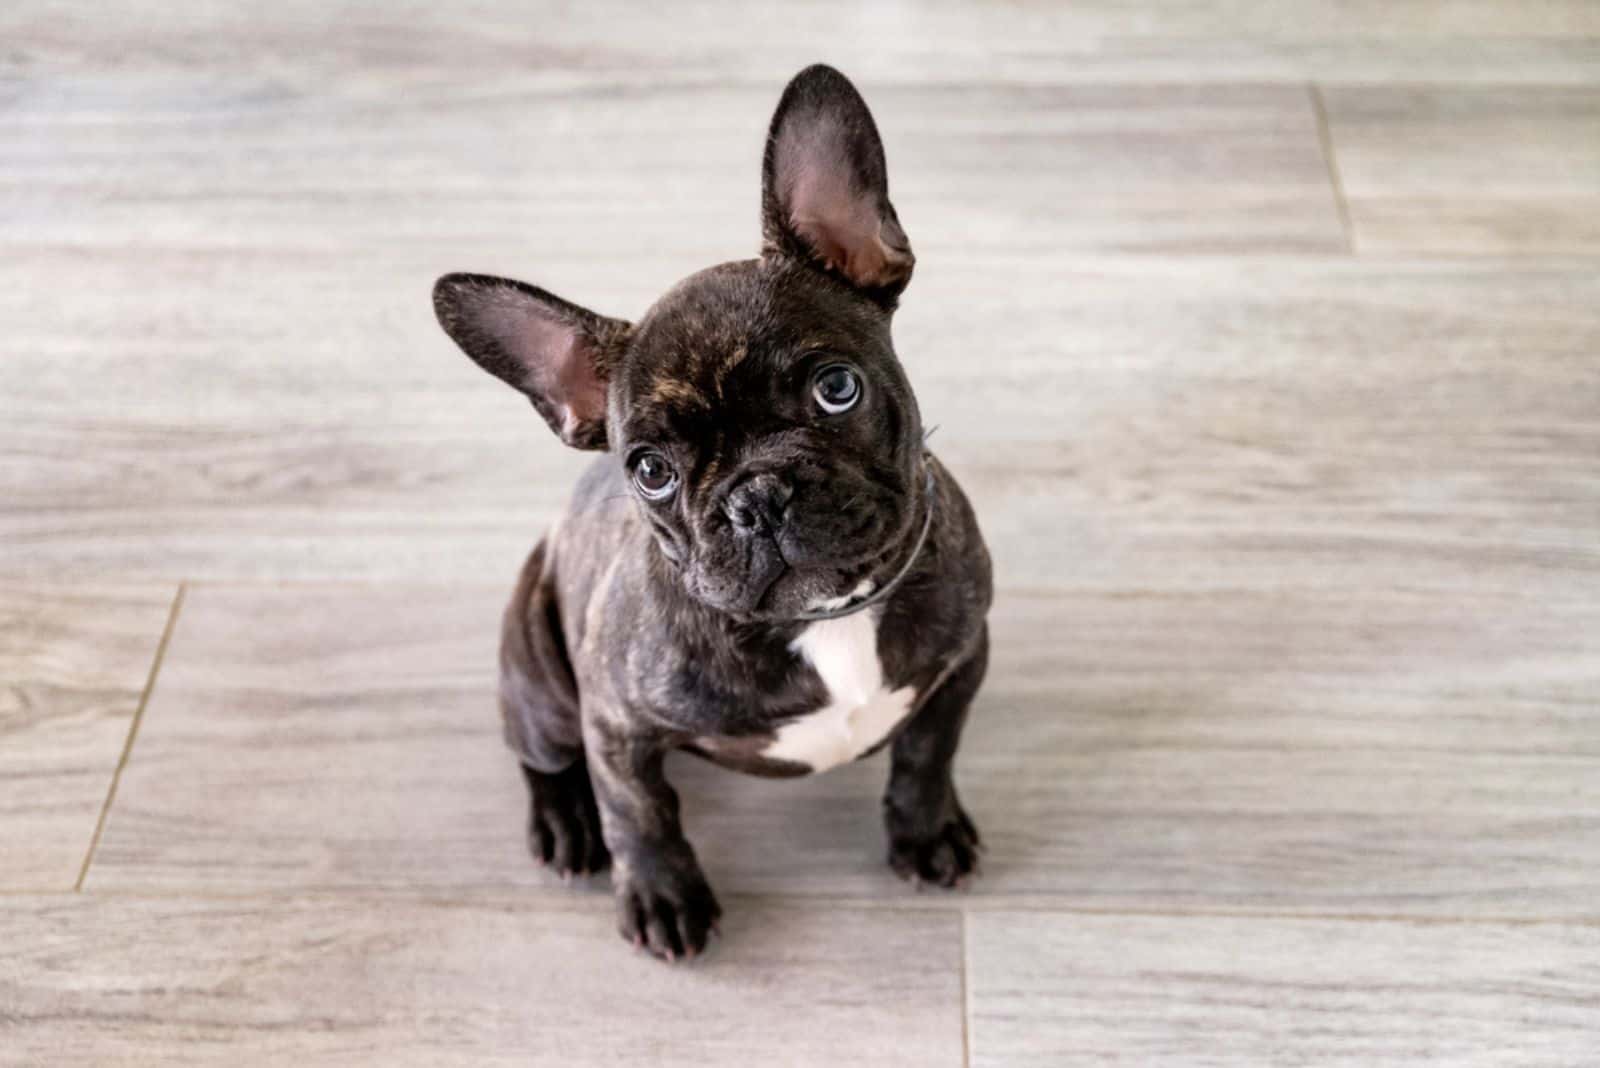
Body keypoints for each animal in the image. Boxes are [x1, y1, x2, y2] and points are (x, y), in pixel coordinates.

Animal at [432, 64, 992, 959]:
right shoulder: (616, 724)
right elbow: (641, 813)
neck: (829, 619)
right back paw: (564, 824)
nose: (757, 497)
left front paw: (926, 832)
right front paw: (663, 895)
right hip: (541, 677)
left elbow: (927, 756)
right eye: (650, 470)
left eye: (838, 388)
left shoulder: (963, 660)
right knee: (543, 754)